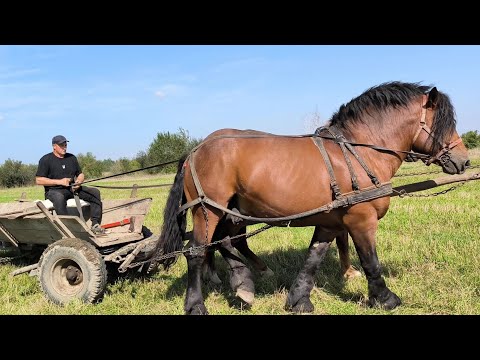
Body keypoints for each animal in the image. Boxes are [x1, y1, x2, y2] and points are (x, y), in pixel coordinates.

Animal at [153, 82, 468, 316]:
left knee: (227, 241)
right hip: (207, 210)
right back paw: (197, 304)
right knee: (197, 252)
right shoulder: (361, 219)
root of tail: (196, 149)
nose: (464, 160)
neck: (359, 152)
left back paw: (244, 283)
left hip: (231, 210)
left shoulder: (330, 222)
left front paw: (299, 300)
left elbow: (313, 259)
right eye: (443, 123)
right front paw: (385, 298)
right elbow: (370, 261)